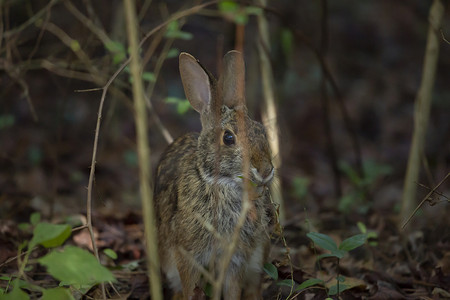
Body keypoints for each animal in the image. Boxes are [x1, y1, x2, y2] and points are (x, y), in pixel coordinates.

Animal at [155, 50, 274, 298]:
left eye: (261, 130)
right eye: (228, 138)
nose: (266, 170)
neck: (220, 183)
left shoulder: (237, 259)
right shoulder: (188, 256)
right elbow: (190, 289)